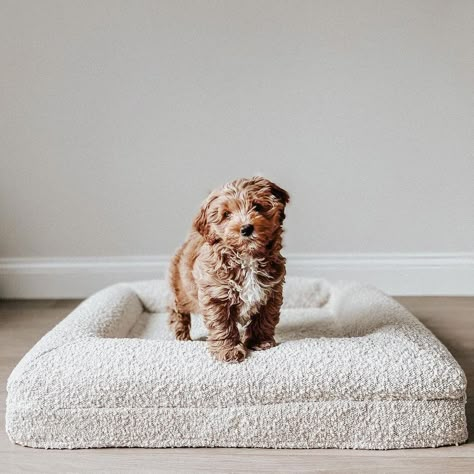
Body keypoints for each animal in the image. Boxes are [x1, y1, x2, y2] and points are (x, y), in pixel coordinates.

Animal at [168, 176, 290, 362]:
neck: (246, 258)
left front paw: (260, 342)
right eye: (226, 214)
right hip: (181, 288)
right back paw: (181, 335)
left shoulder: (272, 292)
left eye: (257, 206)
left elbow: (265, 319)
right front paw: (228, 350)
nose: (246, 228)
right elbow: (222, 325)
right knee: (176, 308)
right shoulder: (215, 295)